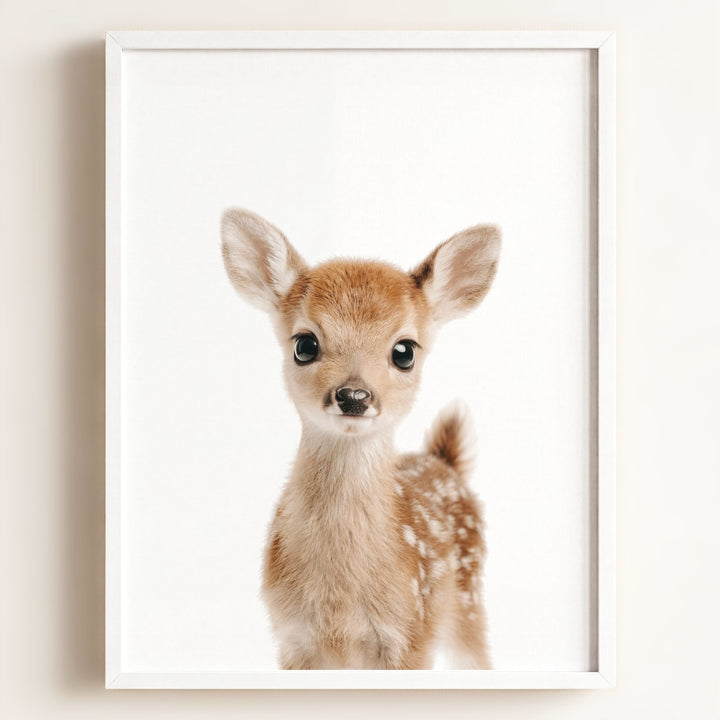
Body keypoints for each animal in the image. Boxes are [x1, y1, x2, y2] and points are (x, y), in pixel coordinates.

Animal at [221, 208, 500, 670]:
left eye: (404, 351)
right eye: (305, 344)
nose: (354, 396)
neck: (339, 604)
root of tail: (445, 461)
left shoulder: (411, 634)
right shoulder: (292, 639)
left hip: (468, 602)